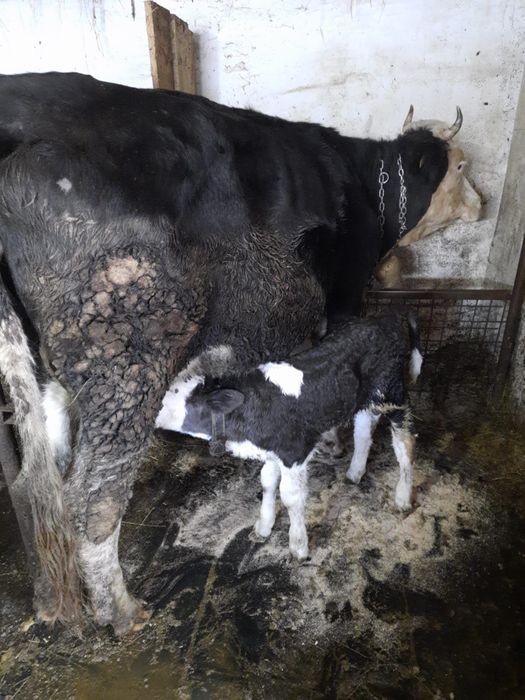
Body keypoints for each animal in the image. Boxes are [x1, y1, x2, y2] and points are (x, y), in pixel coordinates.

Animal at [156, 313, 422, 561]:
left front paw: (298, 546)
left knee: (405, 445)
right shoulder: (272, 451)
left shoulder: (294, 452)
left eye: (173, 395)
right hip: (365, 399)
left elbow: (291, 497)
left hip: (393, 394)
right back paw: (355, 473)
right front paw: (263, 527)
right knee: (363, 432)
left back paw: (402, 497)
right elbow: (267, 482)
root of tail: (386, 318)